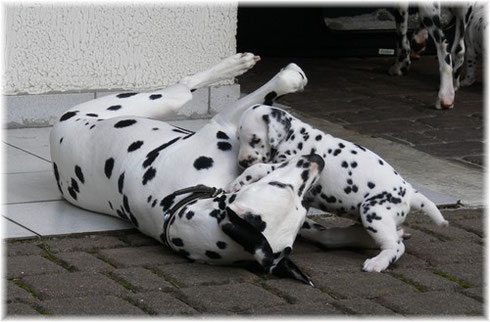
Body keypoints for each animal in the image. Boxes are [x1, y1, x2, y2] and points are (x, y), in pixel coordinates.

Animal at [230, 105, 448, 272]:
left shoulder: (288, 163)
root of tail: (409, 193)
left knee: (395, 247)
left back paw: (378, 262)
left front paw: (239, 181)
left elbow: (258, 167)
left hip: (373, 211)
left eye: (255, 139)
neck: (293, 136)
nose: (241, 162)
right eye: (239, 139)